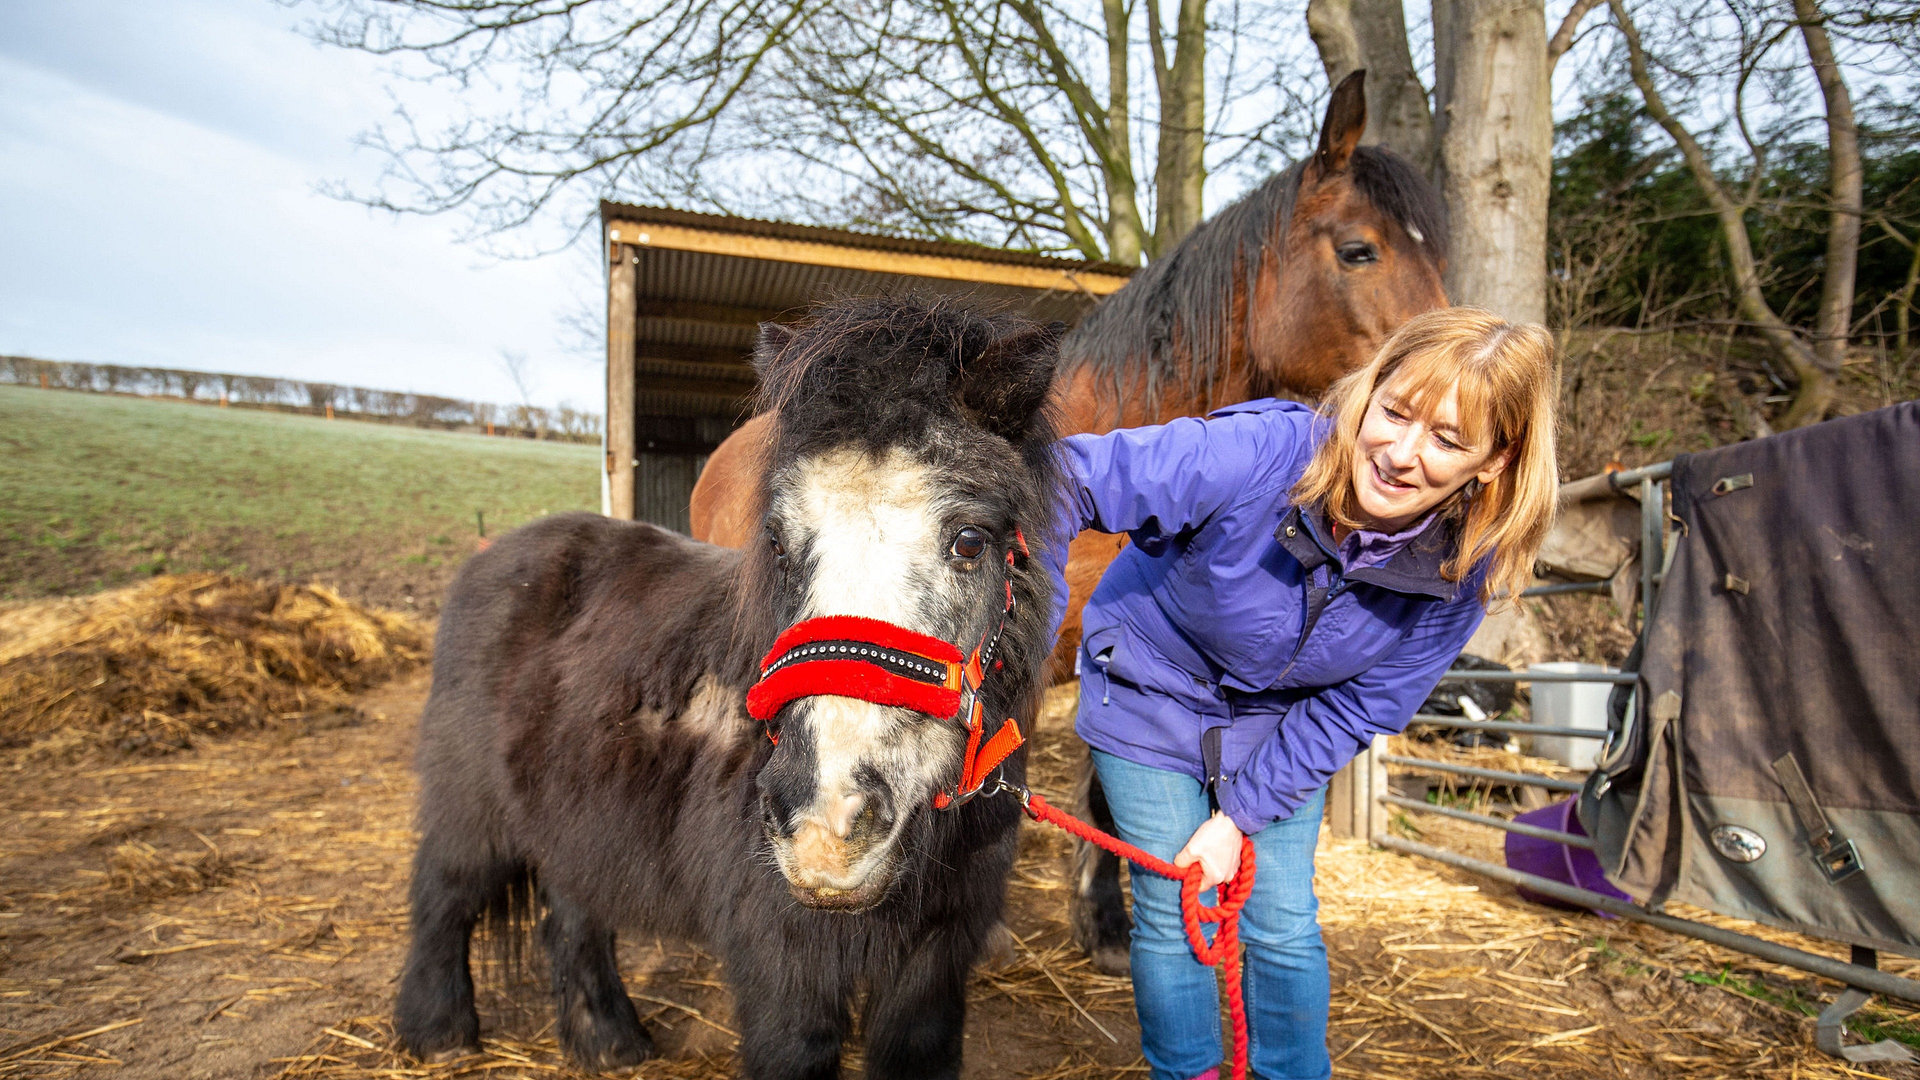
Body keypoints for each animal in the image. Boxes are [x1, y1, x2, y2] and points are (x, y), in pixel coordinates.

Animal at [399, 295, 1067, 1076]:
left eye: (969, 540)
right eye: (776, 539)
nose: (827, 824)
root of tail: (491, 556)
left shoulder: (935, 961)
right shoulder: (782, 966)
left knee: (571, 910)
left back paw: (609, 1041)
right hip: (470, 812)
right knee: (442, 893)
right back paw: (437, 1032)